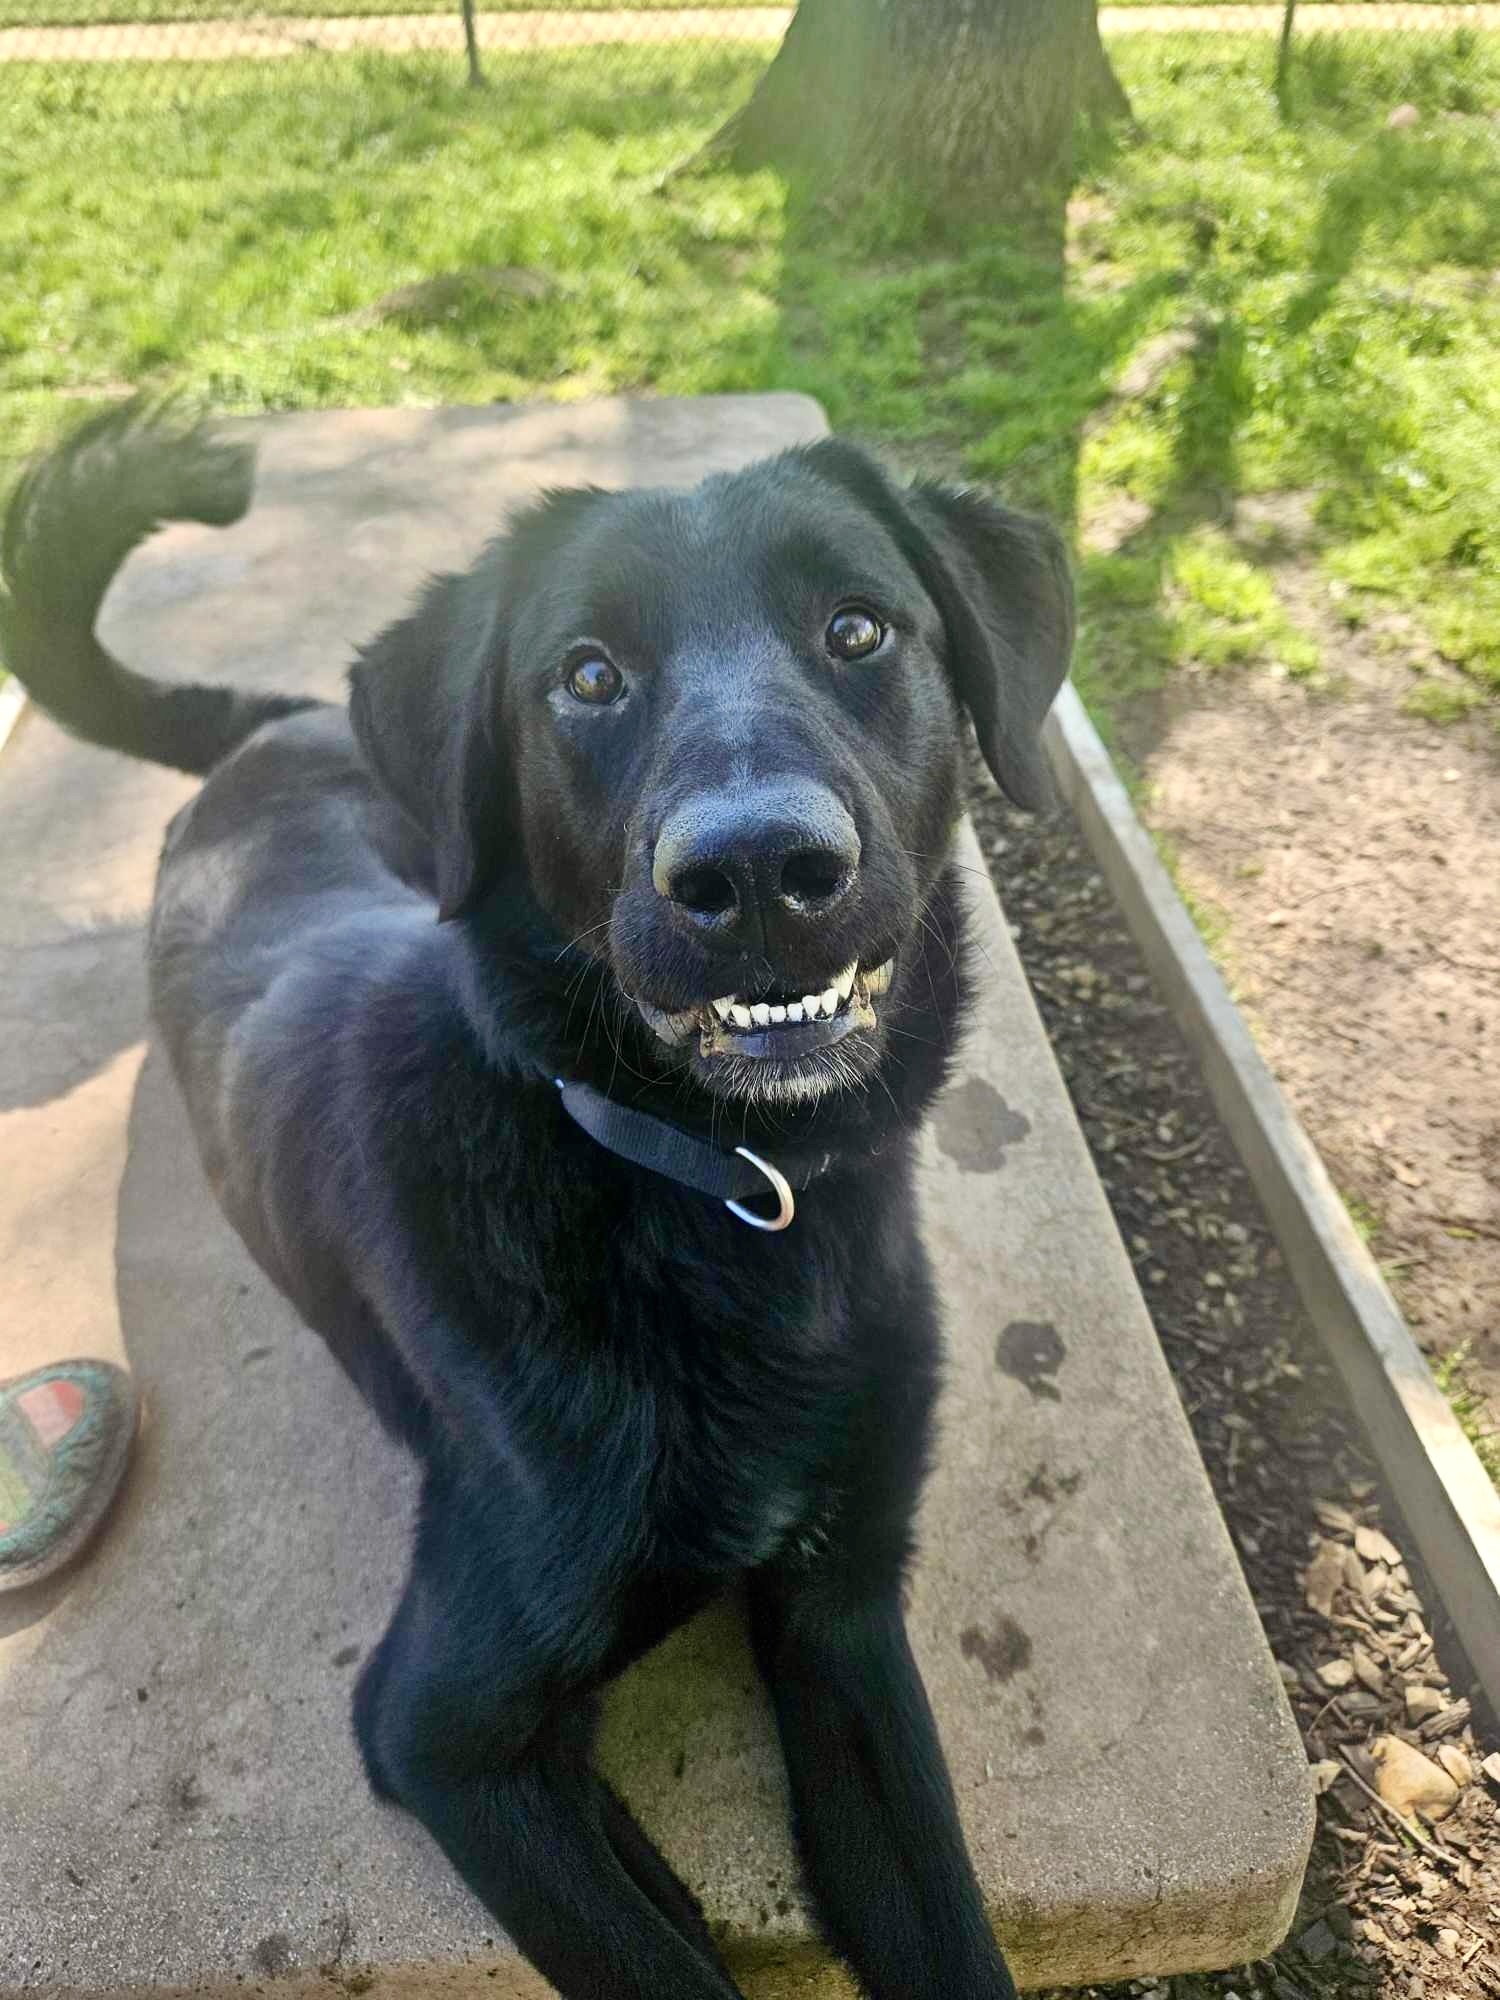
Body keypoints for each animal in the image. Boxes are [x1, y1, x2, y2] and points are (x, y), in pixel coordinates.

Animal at [2, 406, 1080, 2000]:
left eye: (858, 627)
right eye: (586, 674)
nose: (758, 868)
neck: (707, 1196)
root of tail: (266, 731)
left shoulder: (843, 1613)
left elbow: (952, 1934)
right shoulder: (442, 1729)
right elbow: (658, 1963)